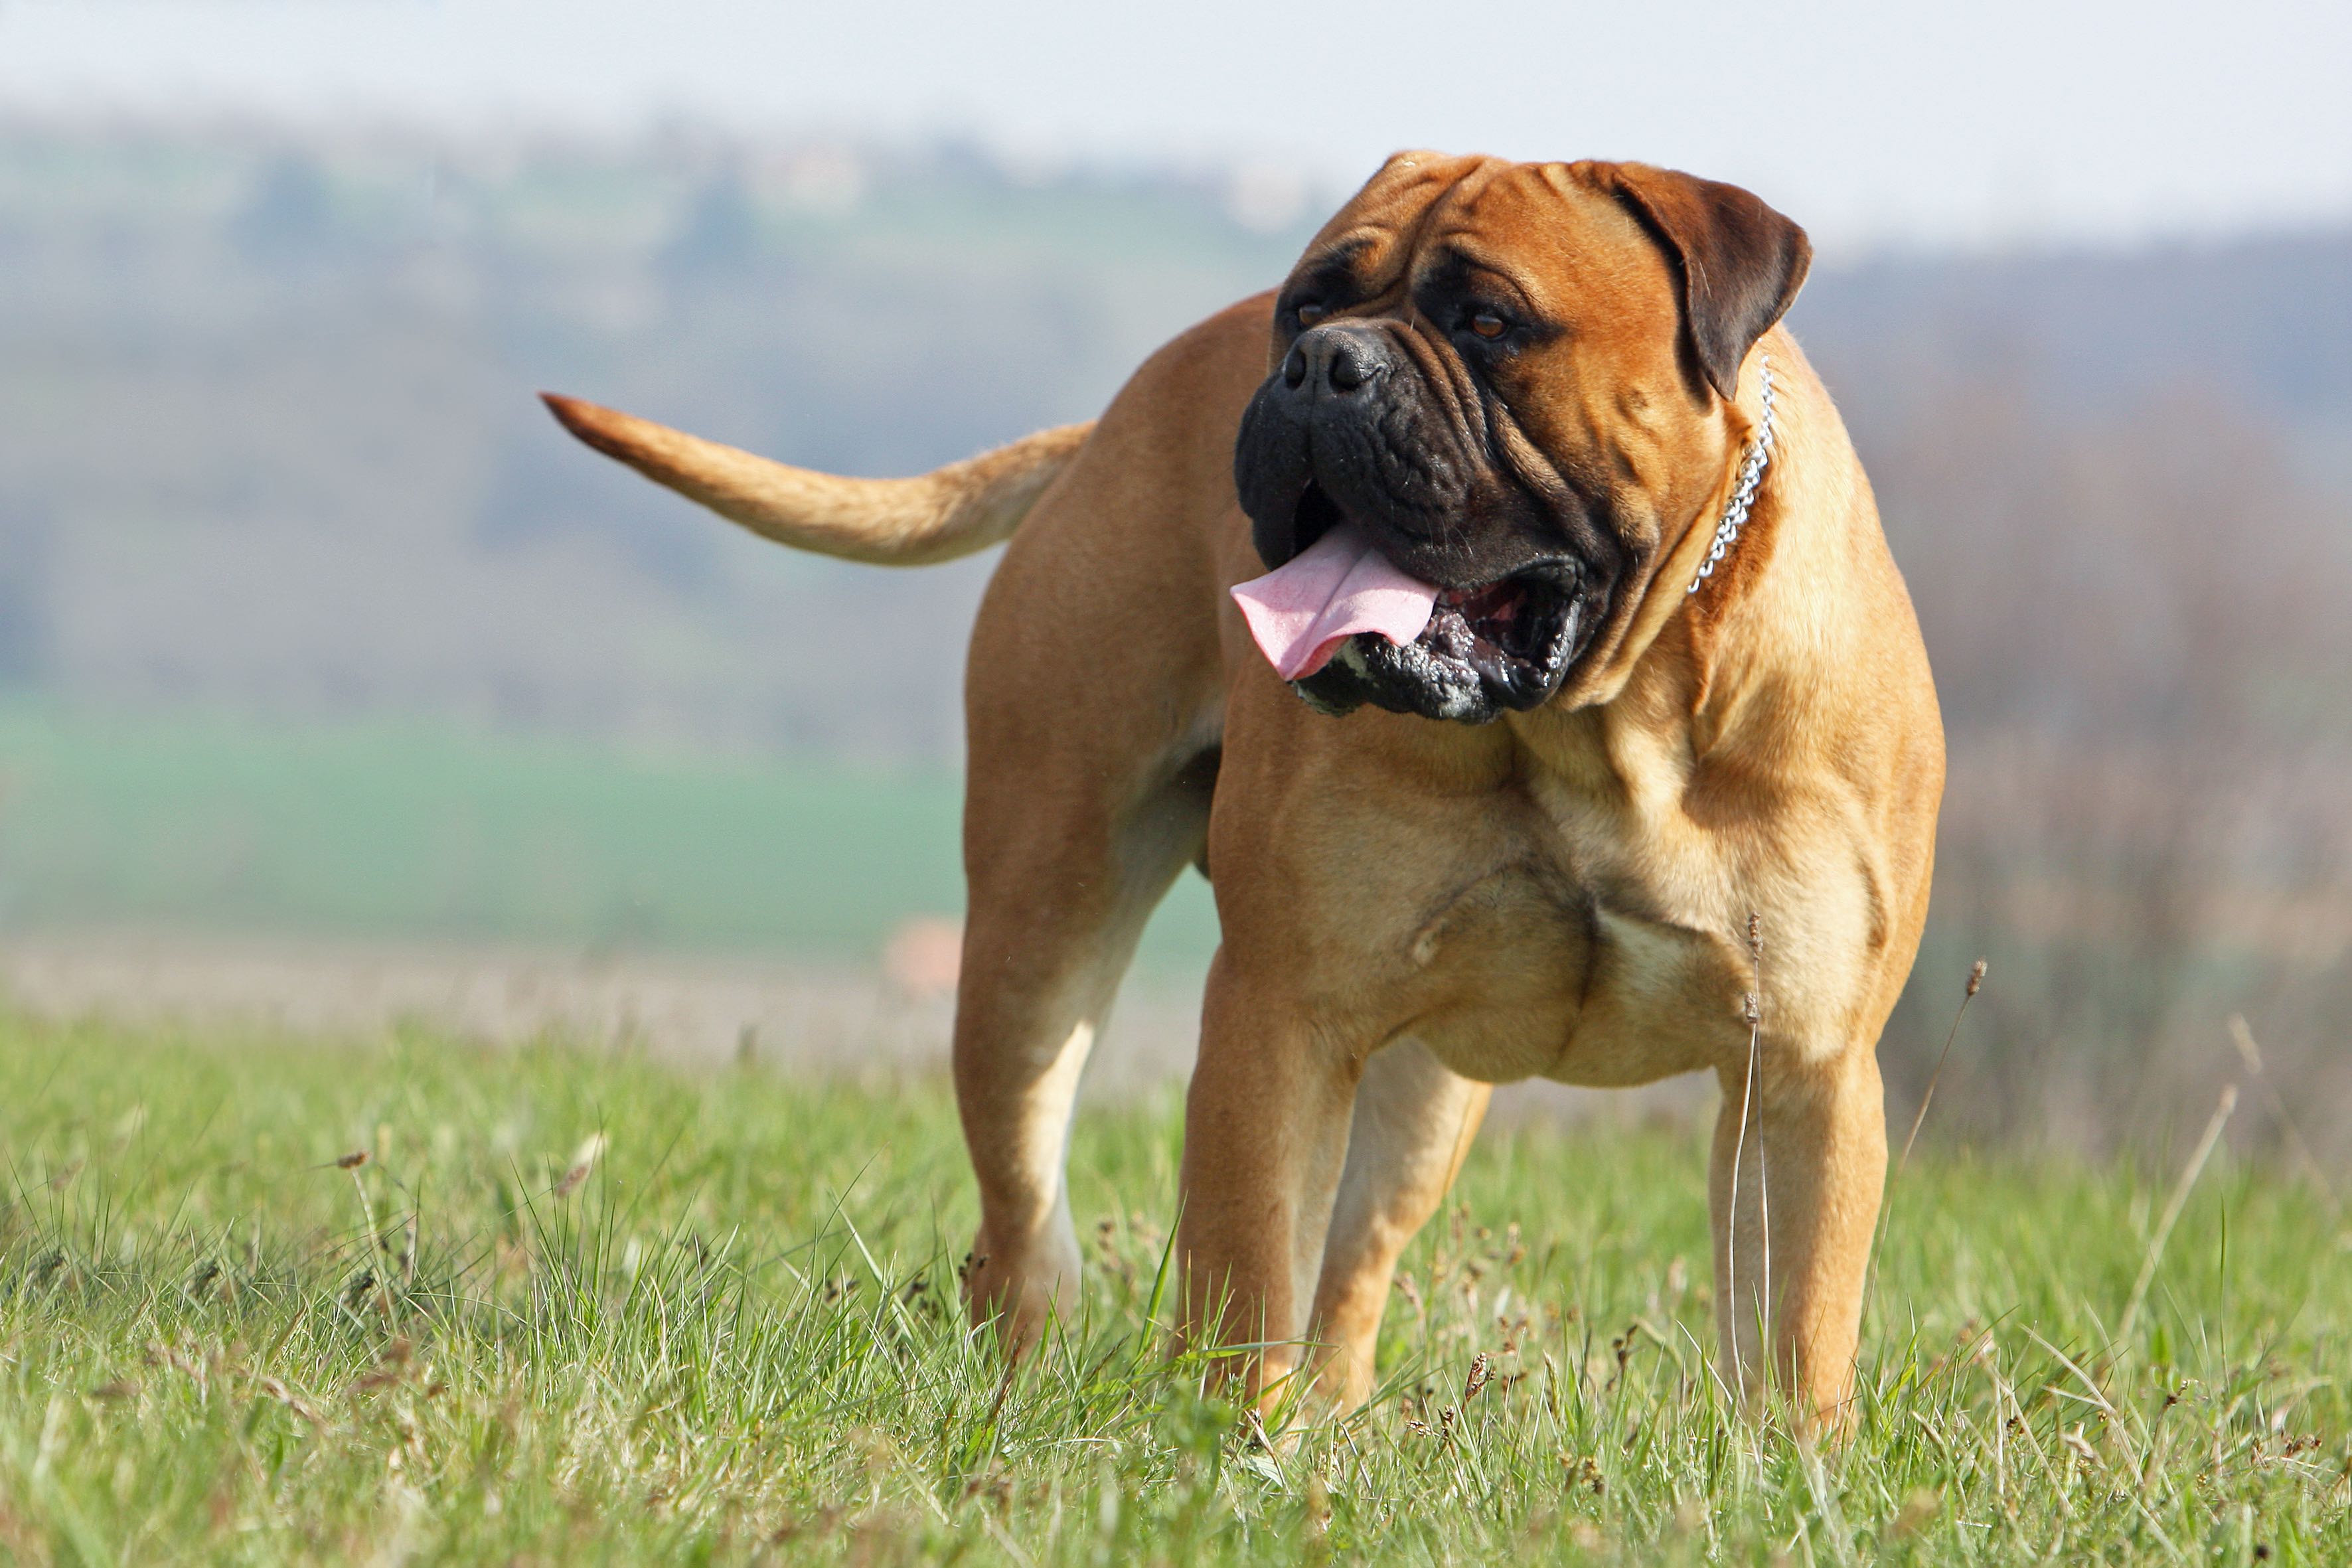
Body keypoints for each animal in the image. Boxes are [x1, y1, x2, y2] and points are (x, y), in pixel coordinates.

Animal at [540, 153, 1938, 1429]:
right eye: (1305, 304)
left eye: (1489, 321)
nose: (1322, 366)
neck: (1596, 721)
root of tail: (1101, 427)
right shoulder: (1280, 1015)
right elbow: (1247, 1264)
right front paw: (1230, 1446)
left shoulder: (1804, 1072)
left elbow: (1796, 1327)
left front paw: (1786, 1474)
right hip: (1036, 940)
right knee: (1026, 1215)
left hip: (1421, 1093)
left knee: (1354, 1268)